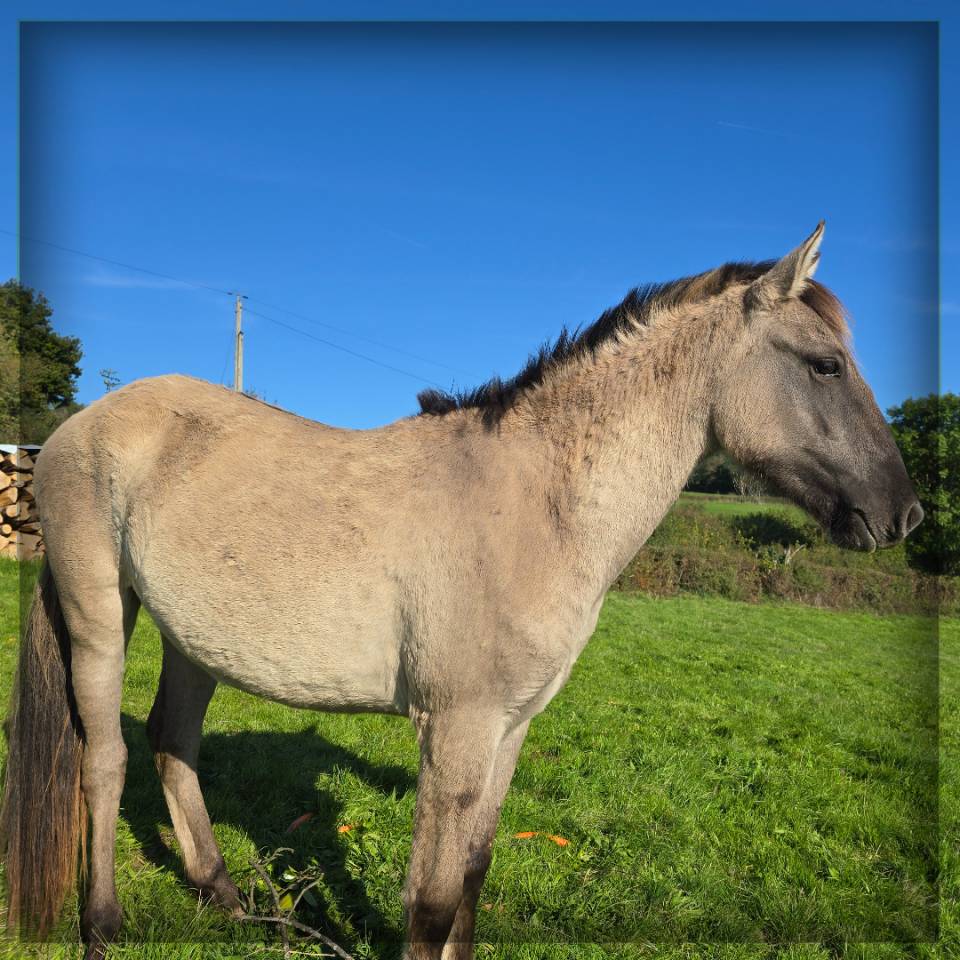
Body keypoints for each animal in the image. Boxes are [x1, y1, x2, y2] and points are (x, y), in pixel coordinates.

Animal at [0, 223, 923, 959]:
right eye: (826, 364)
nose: (903, 514)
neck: (535, 503)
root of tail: (77, 428)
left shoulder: (508, 730)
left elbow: (472, 882)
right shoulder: (455, 730)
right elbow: (432, 903)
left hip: (195, 638)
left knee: (173, 742)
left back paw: (229, 901)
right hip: (100, 612)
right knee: (106, 759)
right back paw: (102, 925)